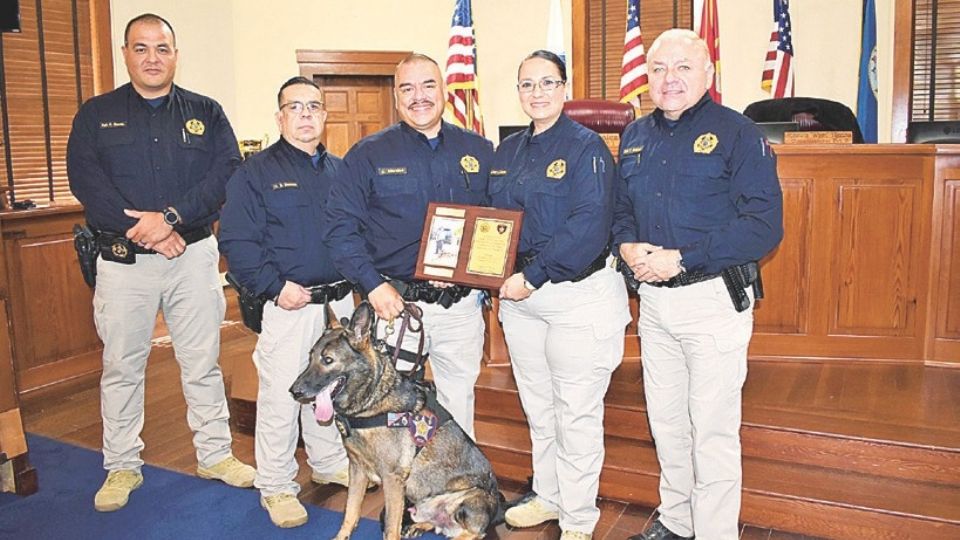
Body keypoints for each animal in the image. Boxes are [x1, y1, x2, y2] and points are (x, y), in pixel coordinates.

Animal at [290, 304, 502, 540]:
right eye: (310, 357)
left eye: (327, 360)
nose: (294, 391)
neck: (371, 401)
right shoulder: (357, 470)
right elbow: (351, 511)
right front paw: (341, 536)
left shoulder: (392, 481)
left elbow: (391, 527)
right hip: (419, 503)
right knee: (434, 522)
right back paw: (418, 526)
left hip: (471, 497)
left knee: (473, 533)